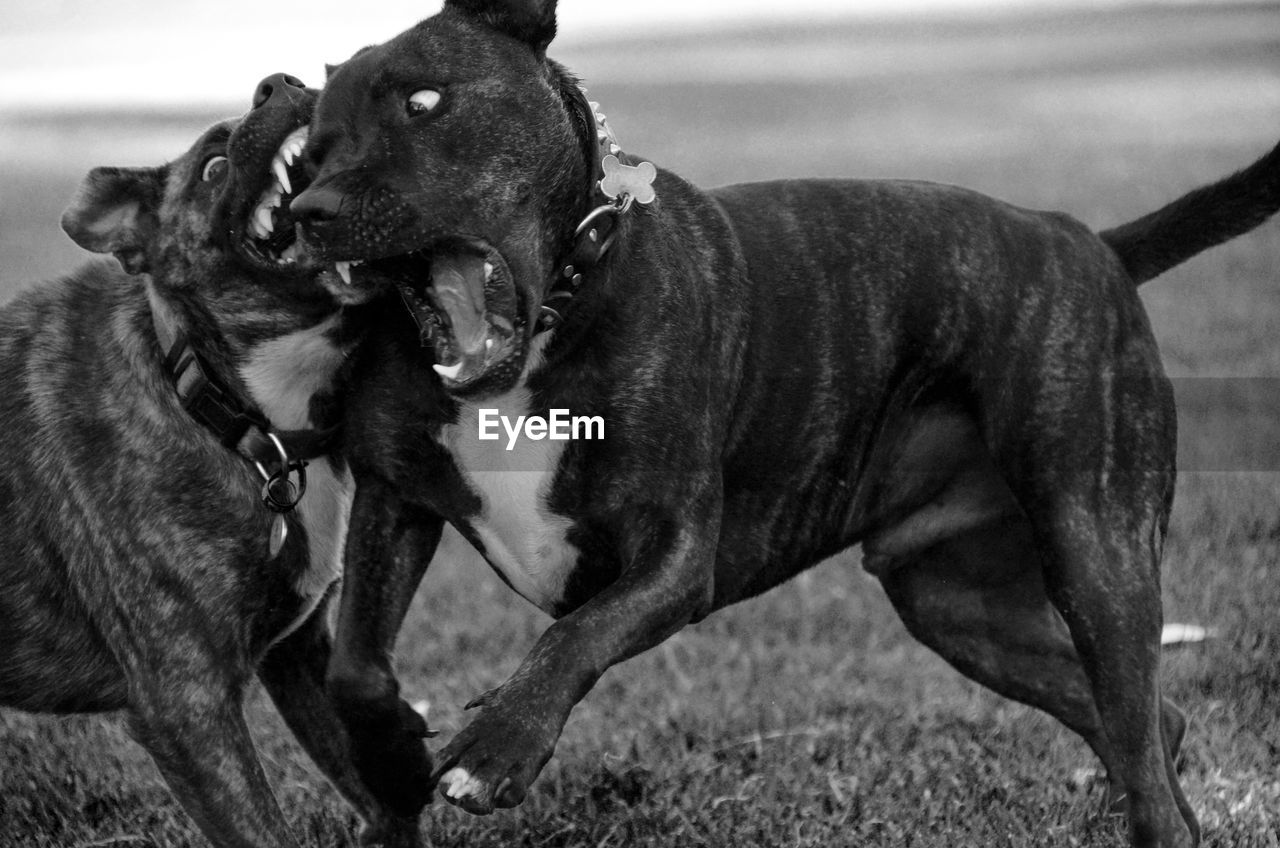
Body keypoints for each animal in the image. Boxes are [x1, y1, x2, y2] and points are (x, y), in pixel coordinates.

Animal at [0, 74, 419, 848]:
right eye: (212, 167)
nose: (278, 84)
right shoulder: (186, 707)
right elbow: (263, 829)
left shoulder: (301, 655)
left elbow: (379, 792)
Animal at [290, 3, 1280, 845]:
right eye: (310, 154)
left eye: (424, 101)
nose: (311, 212)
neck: (555, 311)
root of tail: (1092, 243)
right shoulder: (394, 501)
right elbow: (354, 669)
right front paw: (393, 752)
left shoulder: (673, 556)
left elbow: (572, 635)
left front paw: (499, 748)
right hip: (960, 607)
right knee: (1148, 719)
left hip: (1096, 549)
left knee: (1143, 740)